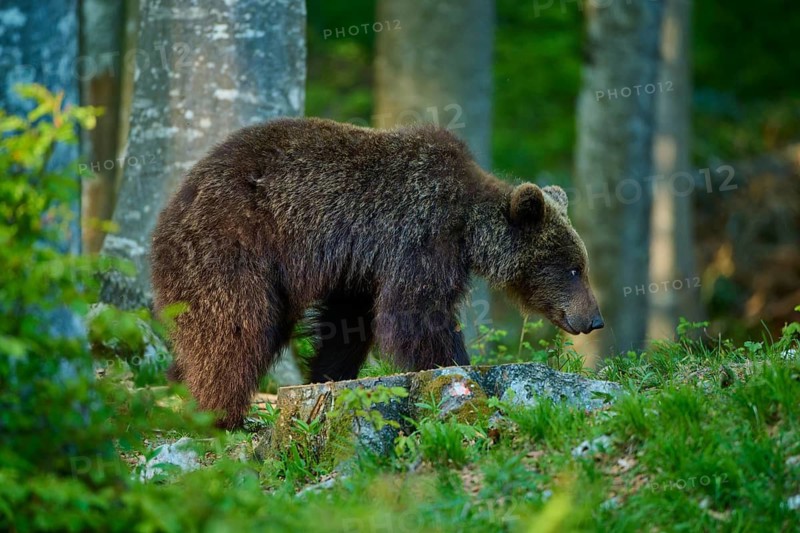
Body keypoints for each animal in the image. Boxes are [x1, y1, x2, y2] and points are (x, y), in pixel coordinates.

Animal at [151, 117, 604, 429]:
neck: (466, 227)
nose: (594, 318)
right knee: (235, 329)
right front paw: (457, 366)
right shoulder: (418, 235)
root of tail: (171, 206)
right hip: (231, 246)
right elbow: (416, 315)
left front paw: (327, 376)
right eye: (574, 268)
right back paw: (219, 415)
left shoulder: (360, 266)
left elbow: (349, 325)